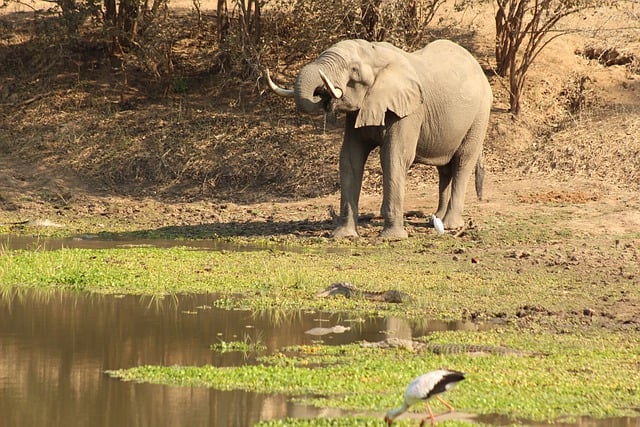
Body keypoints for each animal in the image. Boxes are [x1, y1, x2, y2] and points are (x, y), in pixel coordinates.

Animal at [266, 38, 492, 239]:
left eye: (354, 69)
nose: (324, 94)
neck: (377, 55)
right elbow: (350, 158)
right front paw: (343, 236)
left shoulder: (409, 111)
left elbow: (394, 157)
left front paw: (392, 237)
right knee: (444, 168)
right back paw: (435, 220)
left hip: (480, 114)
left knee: (463, 161)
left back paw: (451, 225)